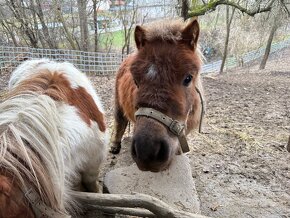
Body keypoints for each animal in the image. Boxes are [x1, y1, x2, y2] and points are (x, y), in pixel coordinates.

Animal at [111, 18, 204, 172]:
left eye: (188, 78)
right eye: (135, 80)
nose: (146, 151)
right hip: (118, 103)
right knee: (120, 121)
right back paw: (115, 145)